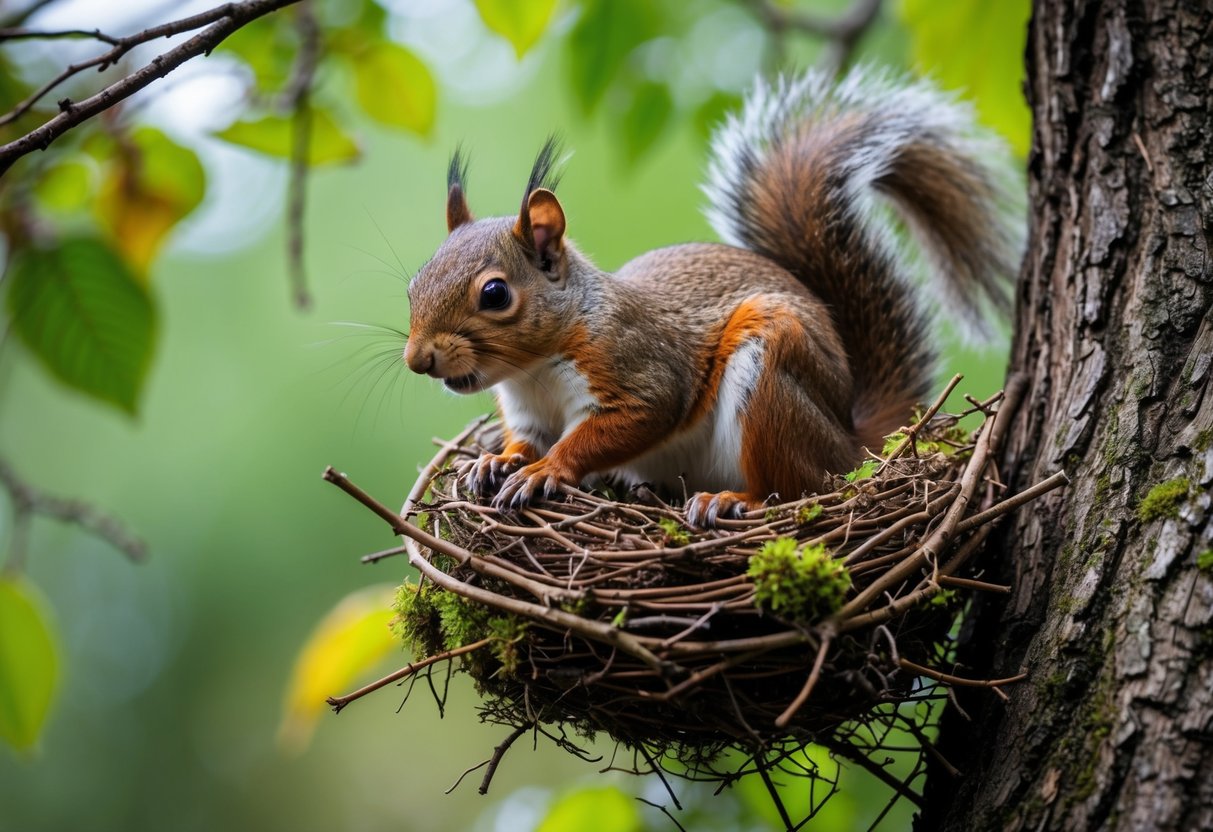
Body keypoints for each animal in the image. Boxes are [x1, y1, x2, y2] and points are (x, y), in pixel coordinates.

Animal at [403, 66, 1020, 527]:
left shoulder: (638, 369)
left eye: (495, 293)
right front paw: (498, 461)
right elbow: (525, 440)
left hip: (774, 378)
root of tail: (854, 439)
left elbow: (625, 422)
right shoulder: (528, 413)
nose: (417, 360)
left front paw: (546, 471)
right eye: (413, 284)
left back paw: (733, 500)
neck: (534, 370)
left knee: (800, 487)